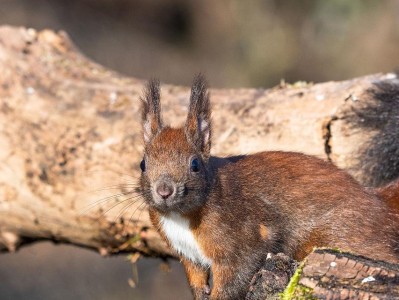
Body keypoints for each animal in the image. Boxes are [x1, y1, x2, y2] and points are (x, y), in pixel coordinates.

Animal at [138, 75, 399, 300]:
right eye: (143, 164)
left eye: (194, 164)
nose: (164, 191)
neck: (179, 216)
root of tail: (378, 200)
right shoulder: (188, 255)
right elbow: (197, 279)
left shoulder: (244, 235)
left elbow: (237, 273)